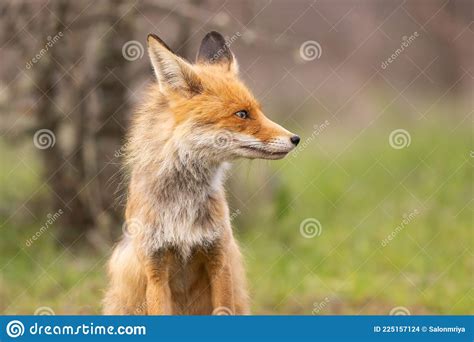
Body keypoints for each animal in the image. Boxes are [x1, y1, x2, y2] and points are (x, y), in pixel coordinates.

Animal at [103, 32, 300, 316]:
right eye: (242, 114)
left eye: (258, 111)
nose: (295, 138)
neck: (182, 207)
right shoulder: (155, 269)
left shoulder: (219, 259)